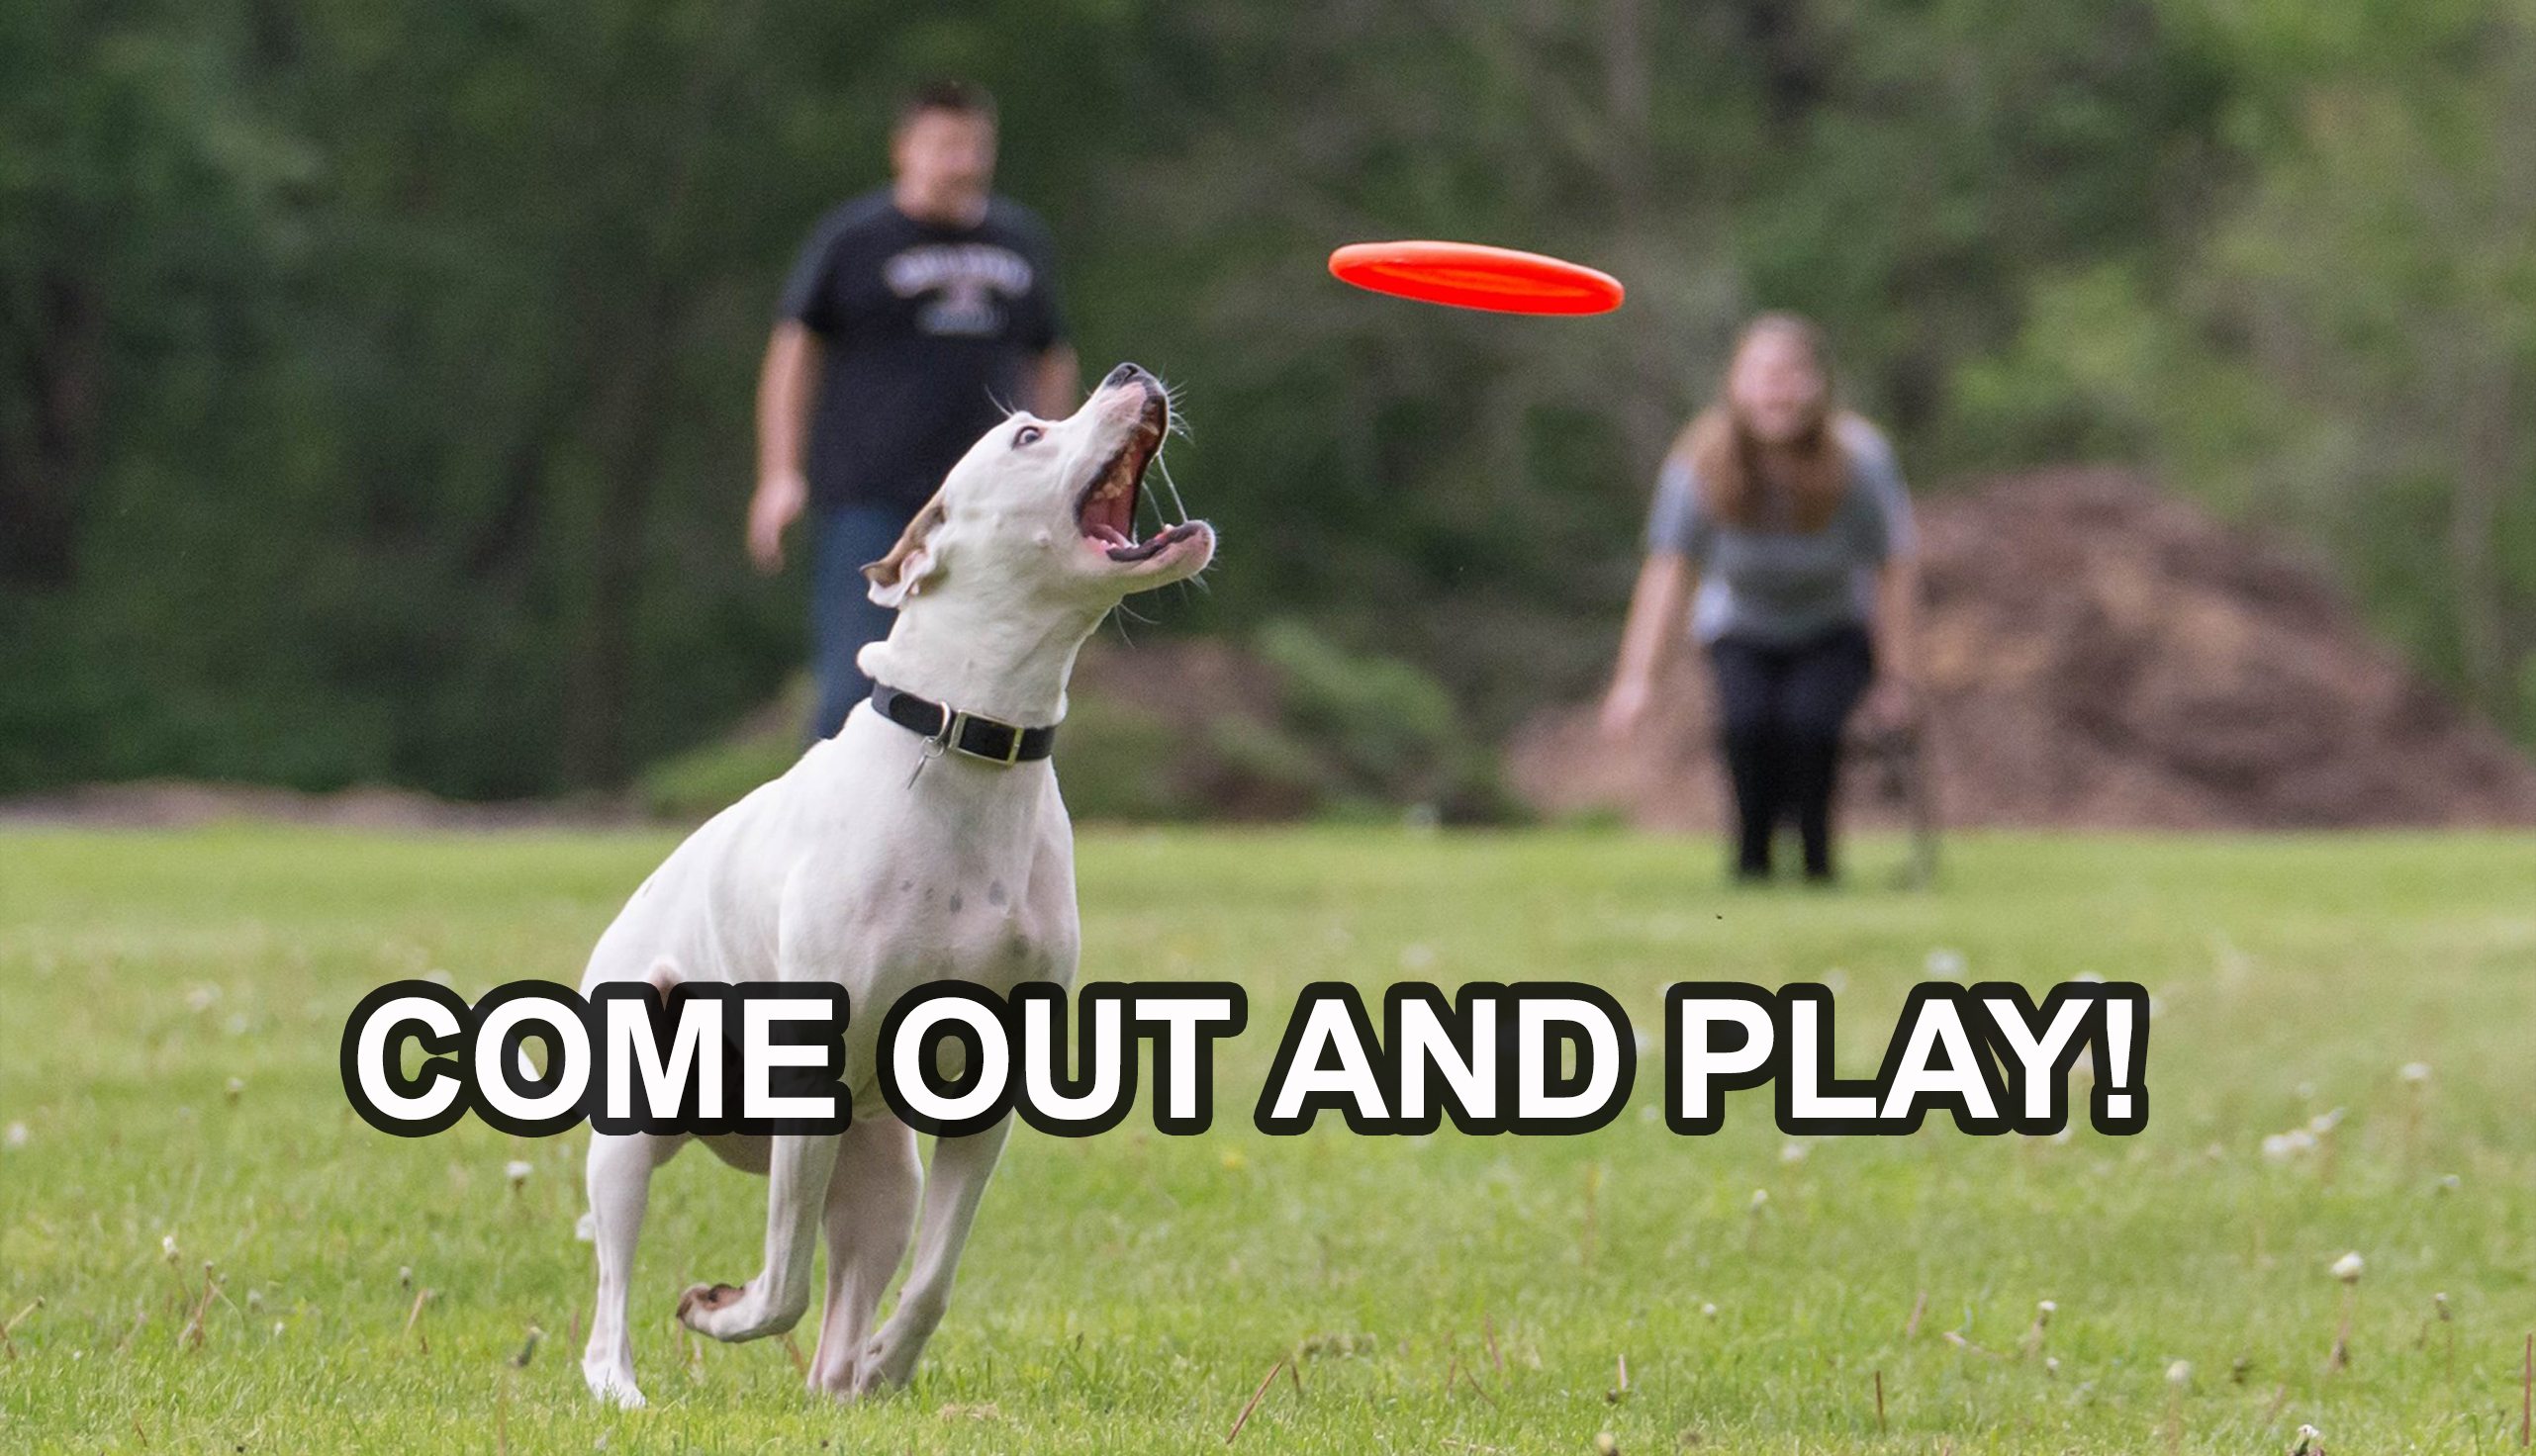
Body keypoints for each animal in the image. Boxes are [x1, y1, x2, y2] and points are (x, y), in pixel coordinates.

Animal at [580, 362, 1212, 1400]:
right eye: (1028, 435)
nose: (1128, 373)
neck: (974, 741)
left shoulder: (986, 1093)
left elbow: (930, 1281)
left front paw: (886, 1361)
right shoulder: (810, 1078)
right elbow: (781, 1281)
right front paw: (721, 1312)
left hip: (883, 1168)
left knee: (845, 1303)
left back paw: (844, 1381)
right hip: (632, 1133)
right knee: (611, 1301)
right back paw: (625, 1389)